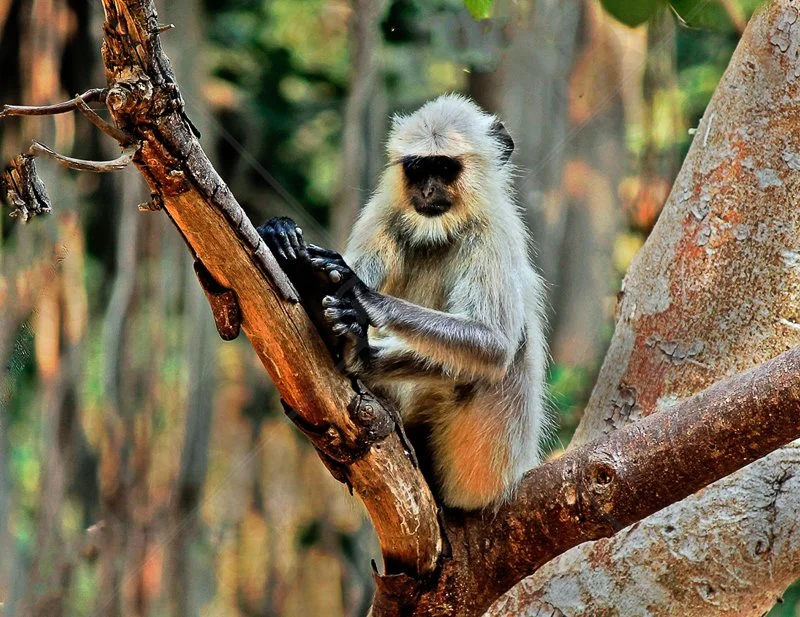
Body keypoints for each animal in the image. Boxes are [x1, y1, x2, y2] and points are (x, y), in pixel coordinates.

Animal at [258, 94, 549, 510]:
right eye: (416, 168)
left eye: (443, 168)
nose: (426, 191)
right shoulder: (383, 212)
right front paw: (280, 235)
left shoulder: (494, 232)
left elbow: (495, 345)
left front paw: (362, 294)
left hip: (489, 463)